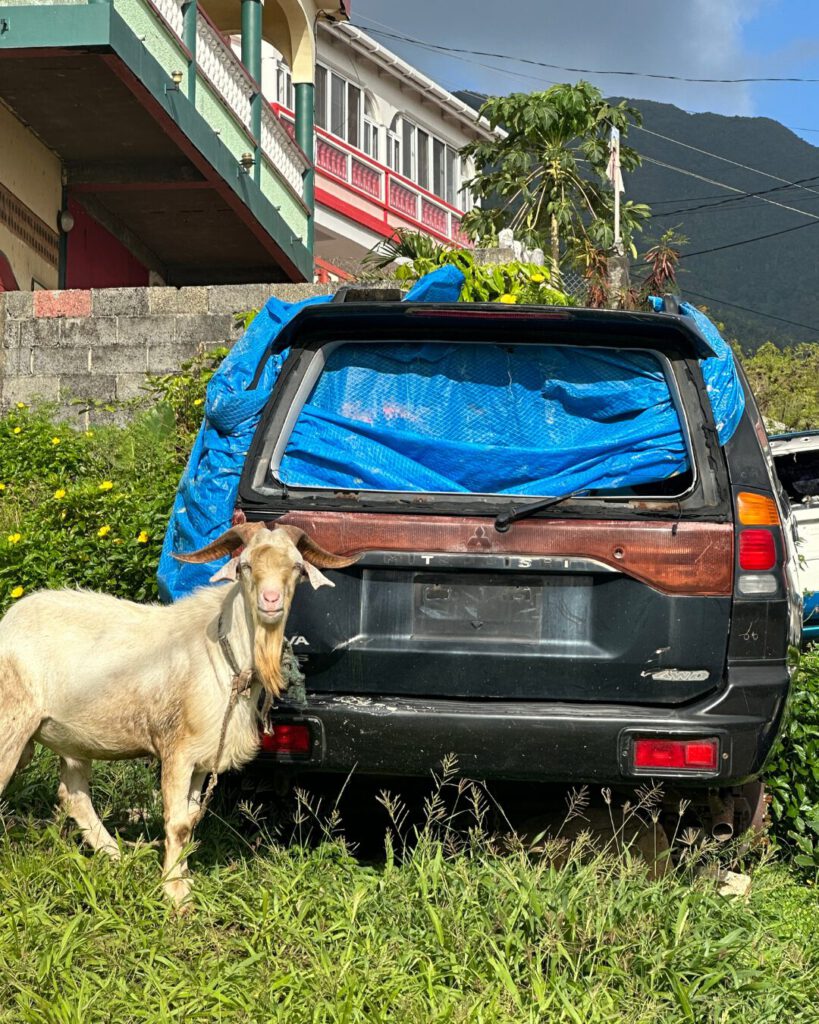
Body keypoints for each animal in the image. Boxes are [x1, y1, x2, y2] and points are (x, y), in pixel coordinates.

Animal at [0, 524, 354, 909]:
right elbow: (177, 822)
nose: (271, 601)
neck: (224, 654)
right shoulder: (177, 750)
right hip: (11, 723)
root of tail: (9, 620)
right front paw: (174, 892)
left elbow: (190, 819)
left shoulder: (202, 759)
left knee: (73, 794)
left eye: (296, 567)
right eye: (245, 565)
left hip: (72, 740)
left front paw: (184, 878)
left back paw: (115, 855)